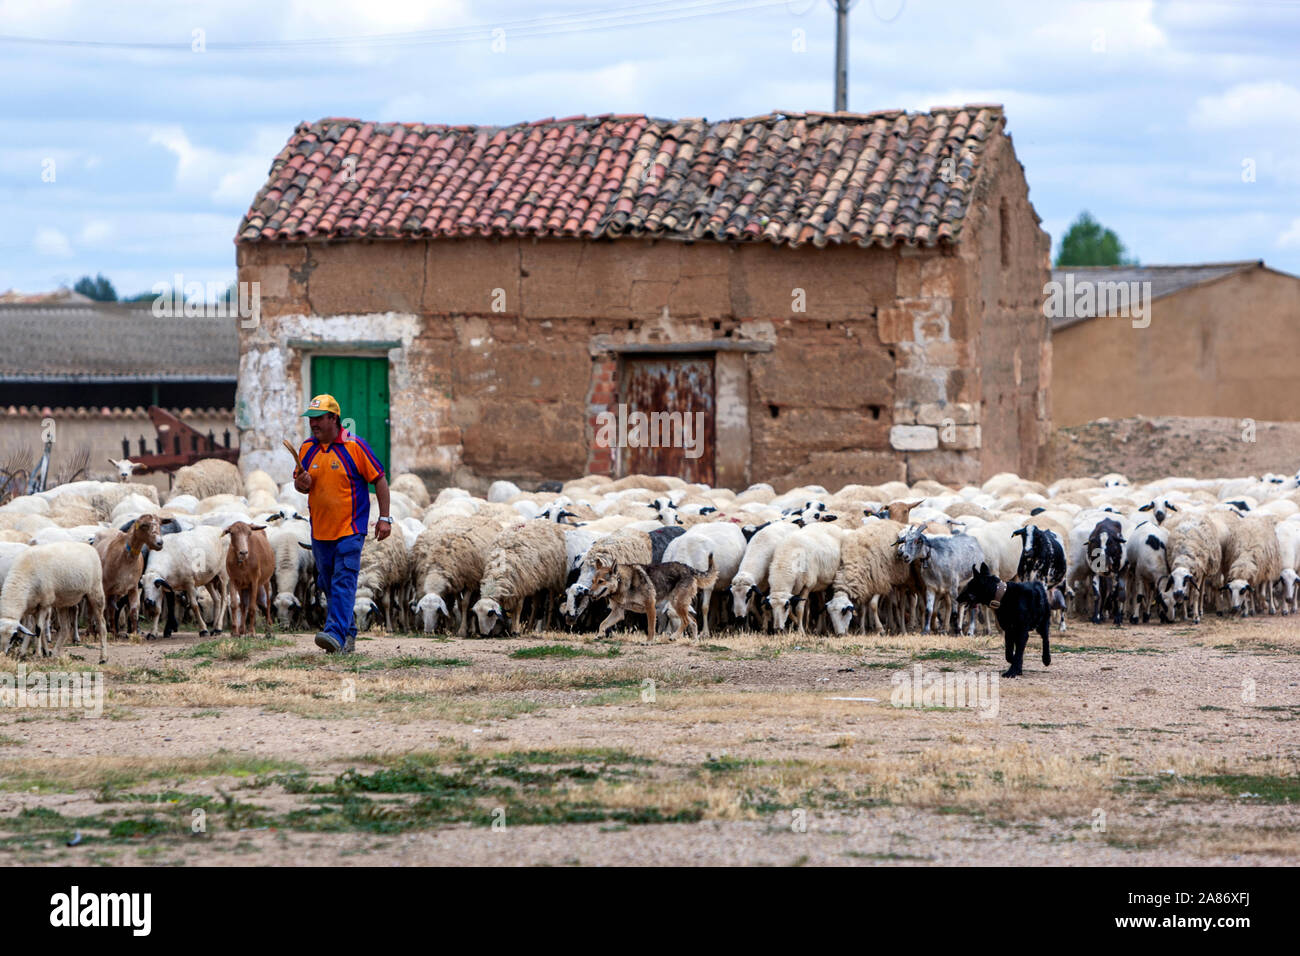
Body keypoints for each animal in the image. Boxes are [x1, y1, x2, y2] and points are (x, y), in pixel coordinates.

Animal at [590, 554, 722, 642]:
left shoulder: (650, 607)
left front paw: (649, 642)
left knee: (685, 621)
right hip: (677, 607)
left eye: (601, 581)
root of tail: (688, 568)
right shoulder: (618, 613)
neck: (621, 582)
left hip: (677, 605)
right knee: (693, 621)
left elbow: (651, 628)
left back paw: (674, 636)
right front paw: (599, 635)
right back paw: (694, 641)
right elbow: (602, 623)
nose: (589, 593)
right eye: (593, 581)